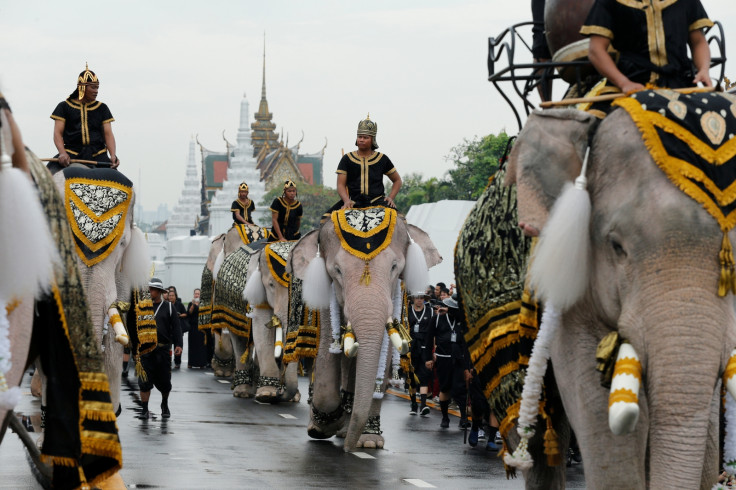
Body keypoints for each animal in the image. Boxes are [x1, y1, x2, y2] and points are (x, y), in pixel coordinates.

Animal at [288, 207, 440, 452]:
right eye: (337, 271)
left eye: (394, 267)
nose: (348, 451)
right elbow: (327, 357)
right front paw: (321, 428)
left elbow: (382, 358)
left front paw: (368, 442)